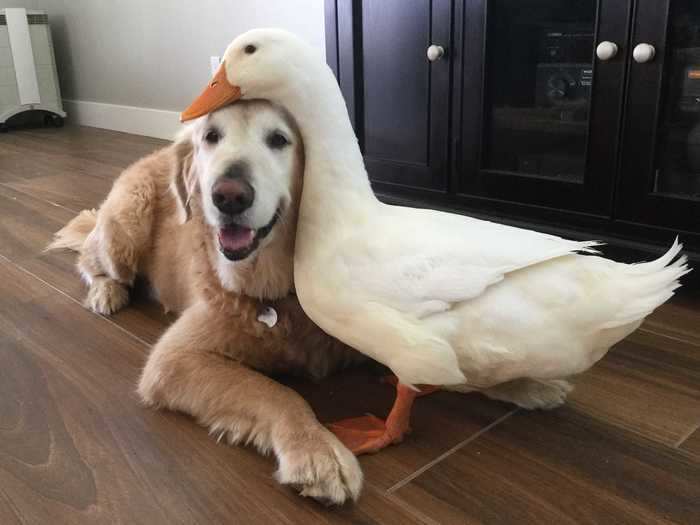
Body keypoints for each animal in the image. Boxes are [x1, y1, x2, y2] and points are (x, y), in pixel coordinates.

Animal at [49, 99, 364, 504]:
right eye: (212, 136)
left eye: (279, 140)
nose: (229, 195)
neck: (277, 292)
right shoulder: (173, 359)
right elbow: (276, 391)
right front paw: (316, 449)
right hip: (125, 229)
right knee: (90, 259)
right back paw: (106, 292)